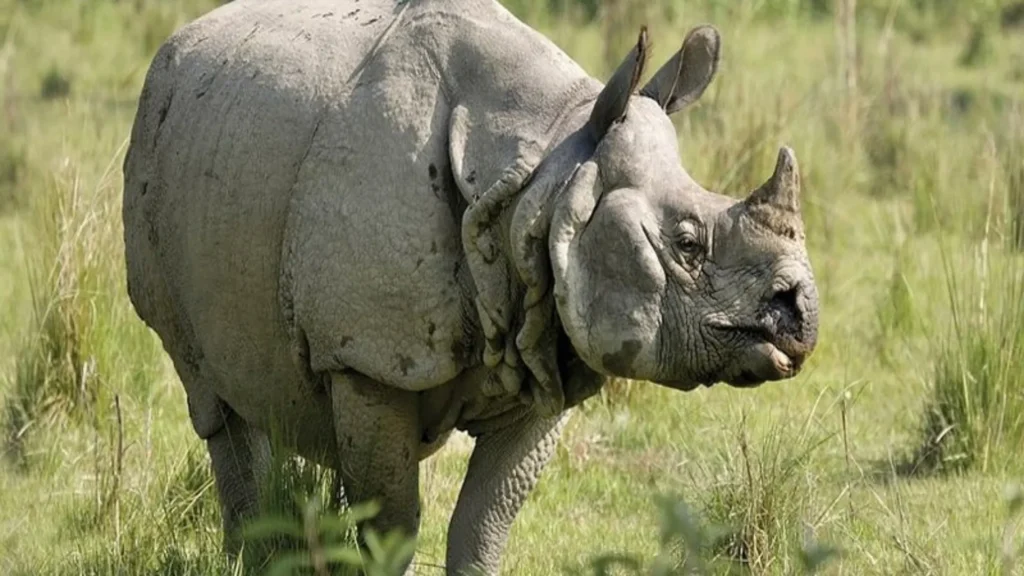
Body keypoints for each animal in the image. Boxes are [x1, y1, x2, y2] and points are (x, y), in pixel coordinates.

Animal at [122, 0, 819, 573]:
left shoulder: (548, 337)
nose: (802, 316)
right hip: (160, 148)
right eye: (687, 245)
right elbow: (392, 529)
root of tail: (179, 44)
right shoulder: (366, 358)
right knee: (213, 401)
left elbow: (484, 525)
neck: (544, 174)